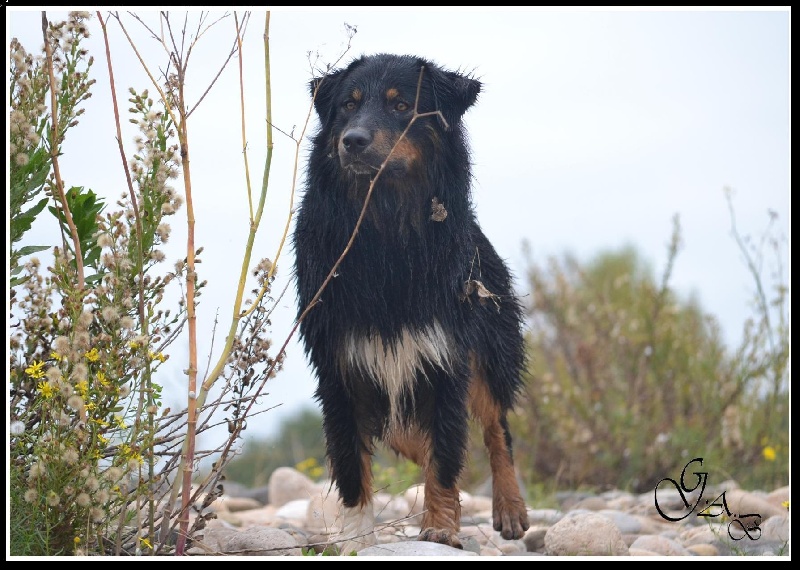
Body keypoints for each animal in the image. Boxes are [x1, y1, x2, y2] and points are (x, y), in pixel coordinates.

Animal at [294, 53, 532, 552]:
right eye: (348, 104)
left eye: (402, 105)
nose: (352, 141)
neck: (384, 231)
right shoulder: (339, 364)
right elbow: (352, 464)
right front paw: (355, 538)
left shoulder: (446, 356)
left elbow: (445, 454)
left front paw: (440, 527)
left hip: (489, 351)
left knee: (495, 428)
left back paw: (510, 508)